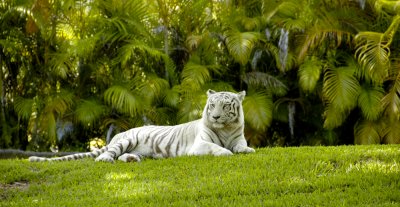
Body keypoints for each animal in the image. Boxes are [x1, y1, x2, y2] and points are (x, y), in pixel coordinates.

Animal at [28, 90, 255, 163]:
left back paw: (131, 159)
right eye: (212, 105)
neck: (225, 129)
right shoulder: (200, 145)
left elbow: (242, 146)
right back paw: (105, 159)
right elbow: (216, 147)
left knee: (122, 156)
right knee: (108, 154)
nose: (215, 116)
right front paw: (226, 152)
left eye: (225, 105)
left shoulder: (238, 138)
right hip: (127, 140)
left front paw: (248, 150)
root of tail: (118, 135)